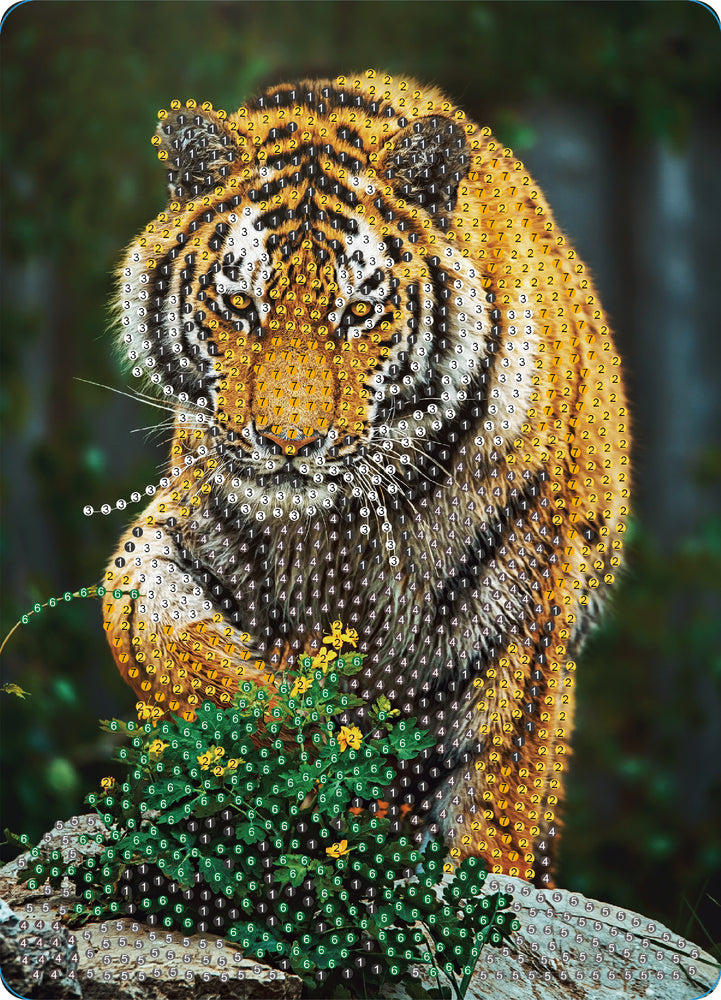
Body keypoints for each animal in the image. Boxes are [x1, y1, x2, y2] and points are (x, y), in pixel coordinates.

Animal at [103, 70, 630, 886]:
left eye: (359, 311)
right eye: (240, 303)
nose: (287, 443)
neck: (334, 529)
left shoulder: (531, 599)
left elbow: (501, 781)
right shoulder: (176, 524)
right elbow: (144, 621)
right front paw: (283, 728)